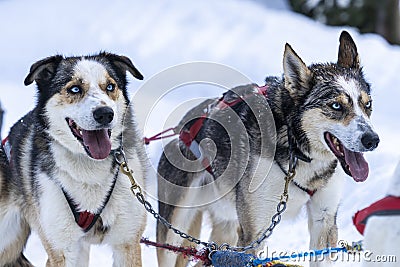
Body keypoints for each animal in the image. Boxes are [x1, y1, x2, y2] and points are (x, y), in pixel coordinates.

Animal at [0, 52, 148, 267]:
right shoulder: (62, 250)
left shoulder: (127, 243)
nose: (105, 114)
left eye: (110, 86)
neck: (90, 171)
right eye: (75, 88)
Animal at [155, 30, 378, 266]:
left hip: (226, 229)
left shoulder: (324, 221)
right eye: (336, 105)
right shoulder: (254, 233)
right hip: (175, 228)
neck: (296, 150)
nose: (372, 140)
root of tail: (182, 129)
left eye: (367, 104)